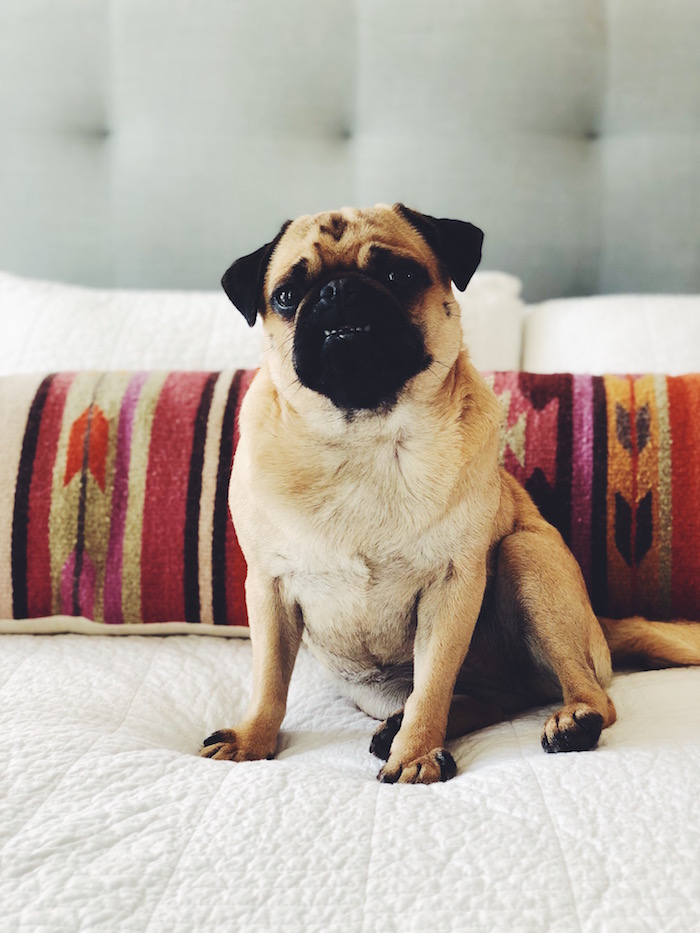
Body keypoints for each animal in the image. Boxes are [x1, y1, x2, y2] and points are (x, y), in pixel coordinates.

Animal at [198, 202, 700, 780]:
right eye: (286, 294)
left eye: (399, 275)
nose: (337, 290)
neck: (365, 437)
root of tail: (600, 622)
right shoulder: (269, 588)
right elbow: (269, 680)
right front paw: (252, 738)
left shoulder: (451, 585)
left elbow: (433, 683)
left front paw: (415, 755)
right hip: (374, 687)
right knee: (491, 699)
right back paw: (395, 730)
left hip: (528, 558)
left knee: (588, 692)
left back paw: (570, 721)